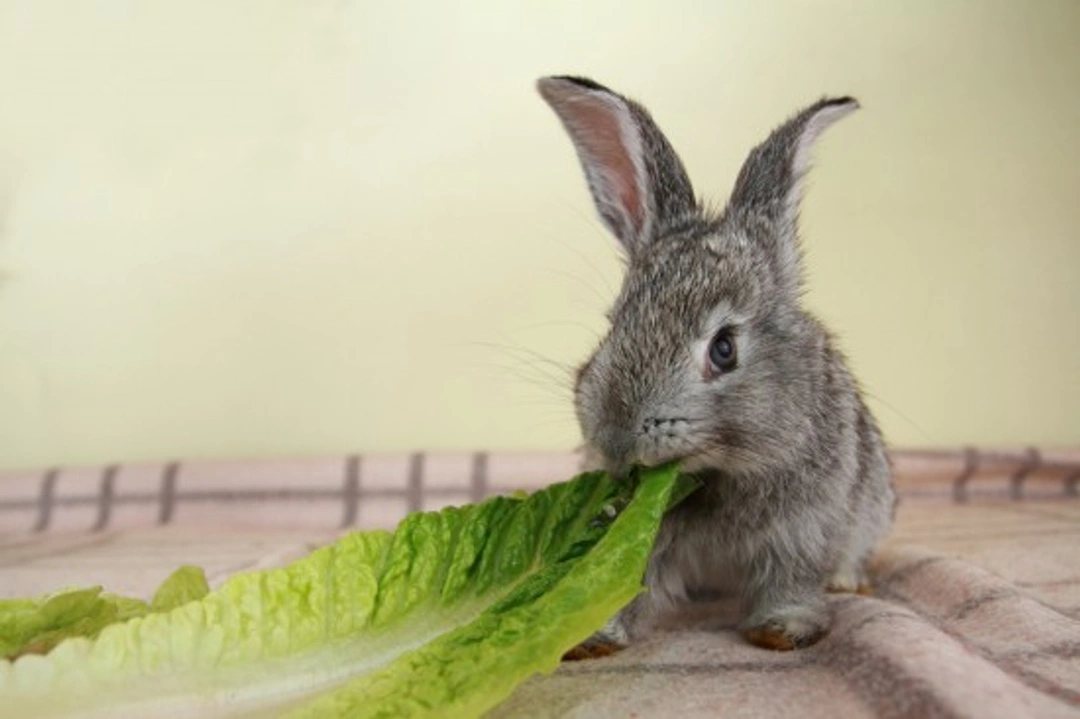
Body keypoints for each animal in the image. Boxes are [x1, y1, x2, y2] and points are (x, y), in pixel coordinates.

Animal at [536, 76, 896, 653]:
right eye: (615, 323)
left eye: (724, 348)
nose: (614, 439)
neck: (715, 469)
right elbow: (624, 580)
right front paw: (594, 639)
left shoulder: (806, 526)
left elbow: (792, 579)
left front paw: (782, 631)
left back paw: (848, 581)